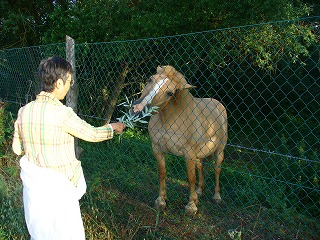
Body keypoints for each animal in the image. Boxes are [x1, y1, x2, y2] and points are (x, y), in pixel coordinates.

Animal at [132, 65, 228, 214]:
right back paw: (199, 192)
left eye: (170, 93)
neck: (170, 119)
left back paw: (216, 197)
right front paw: (161, 201)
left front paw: (191, 206)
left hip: (219, 151)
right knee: (201, 167)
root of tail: (217, 103)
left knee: (217, 170)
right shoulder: (157, 149)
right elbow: (162, 173)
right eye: (150, 79)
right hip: (200, 154)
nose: (137, 109)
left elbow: (191, 178)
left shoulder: (189, 155)